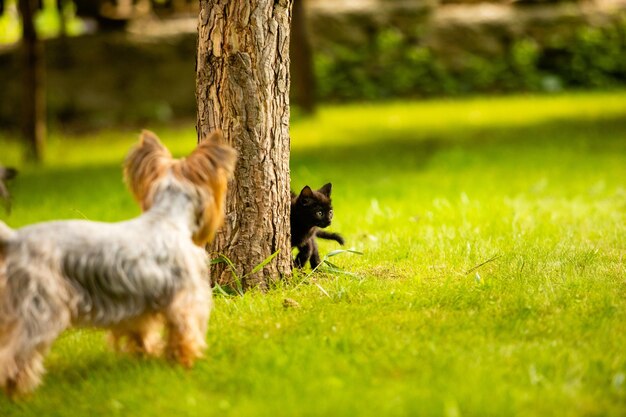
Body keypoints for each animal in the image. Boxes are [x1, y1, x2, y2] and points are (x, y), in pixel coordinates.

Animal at [0, 131, 236, 396]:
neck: (166, 217)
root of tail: (14, 240)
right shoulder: (185, 298)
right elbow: (184, 333)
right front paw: (186, 362)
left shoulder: (139, 306)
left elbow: (142, 333)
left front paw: (147, 355)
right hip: (41, 308)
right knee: (13, 355)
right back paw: (19, 393)